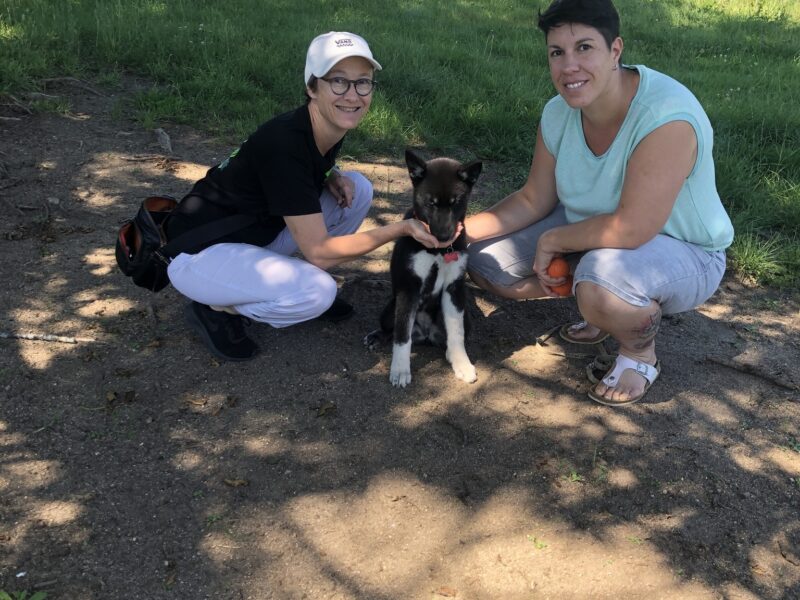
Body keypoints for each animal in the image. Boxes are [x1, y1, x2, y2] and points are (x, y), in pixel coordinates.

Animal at [364, 148, 482, 386]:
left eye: (455, 202)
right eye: (431, 203)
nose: (444, 237)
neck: (437, 252)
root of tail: (426, 334)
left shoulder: (454, 288)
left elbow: (456, 333)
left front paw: (462, 364)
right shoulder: (409, 287)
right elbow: (402, 335)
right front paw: (400, 370)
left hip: (466, 317)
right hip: (390, 308)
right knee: (393, 330)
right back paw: (376, 337)